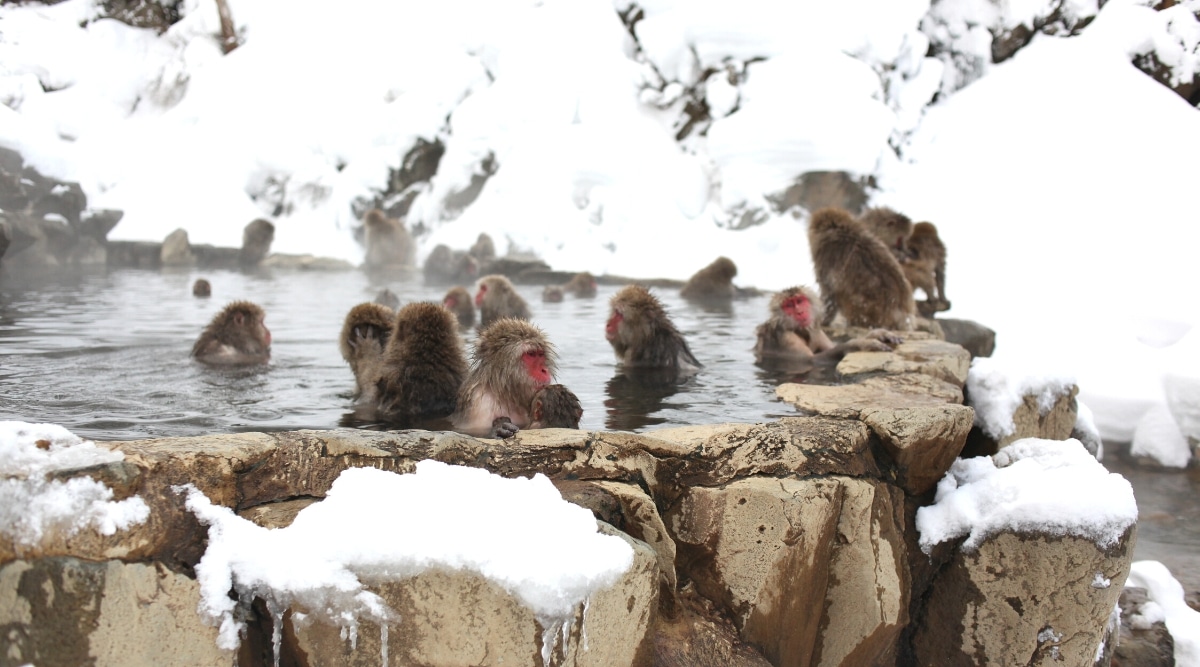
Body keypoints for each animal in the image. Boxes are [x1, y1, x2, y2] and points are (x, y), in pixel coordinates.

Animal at [753, 286, 901, 365]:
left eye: (799, 301)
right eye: (789, 305)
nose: (800, 312)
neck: (801, 331)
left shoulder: (816, 330)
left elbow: (829, 348)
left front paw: (879, 334)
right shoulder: (785, 336)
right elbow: (811, 360)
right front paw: (858, 344)